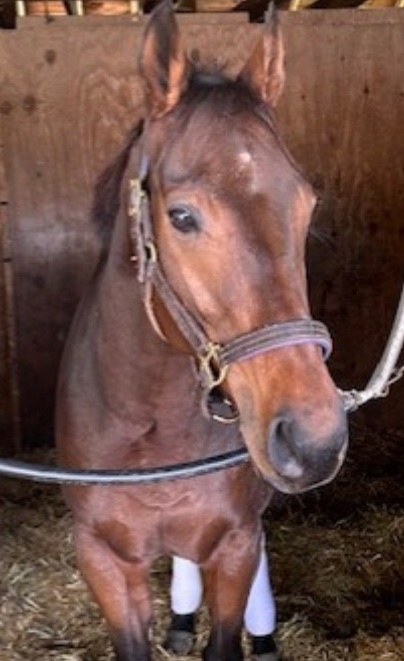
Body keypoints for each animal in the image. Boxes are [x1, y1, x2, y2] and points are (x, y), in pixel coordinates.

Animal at [56, 2, 348, 660]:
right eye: (182, 217)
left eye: (307, 207)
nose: (314, 440)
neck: (151, 424)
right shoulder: (104, 561)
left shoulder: (236, 544)